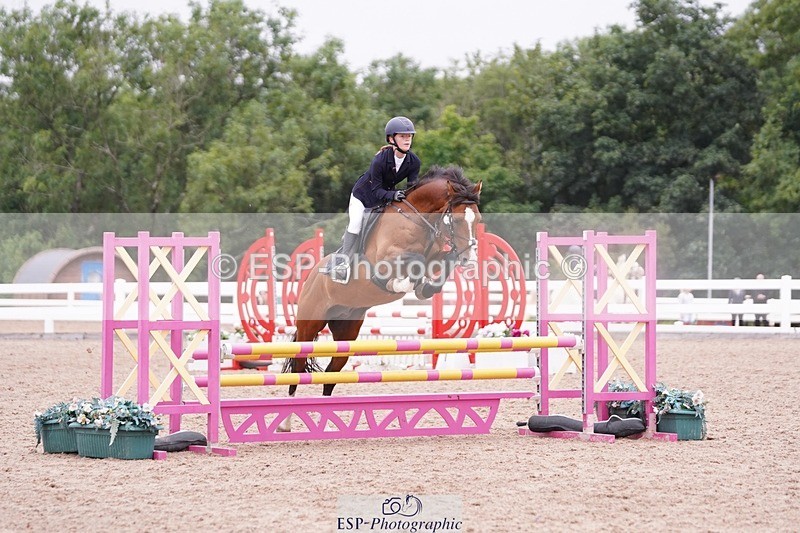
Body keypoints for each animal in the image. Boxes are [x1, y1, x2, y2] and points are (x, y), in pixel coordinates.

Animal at [282, 165, 482, 409]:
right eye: (458, 219)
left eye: (478, 219)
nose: (469, 260)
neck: (417, 219)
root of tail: (311, 278)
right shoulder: (386, 259)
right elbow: (413, 261)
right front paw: (402, 283)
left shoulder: (435, 255)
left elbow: (443, 259)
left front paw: (424, 288)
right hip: (309, 326)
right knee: (298, 366)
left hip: (346, 331)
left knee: (331, 373)